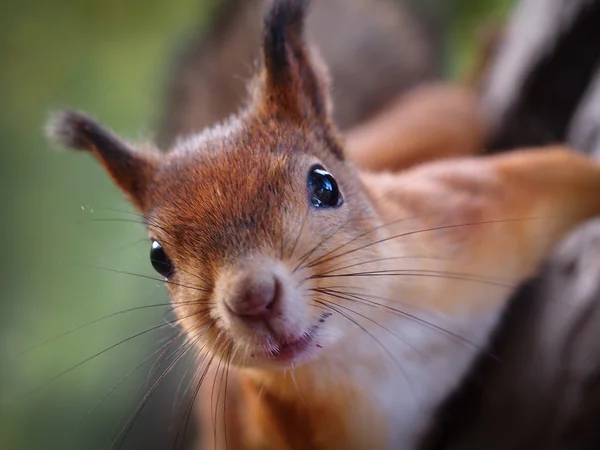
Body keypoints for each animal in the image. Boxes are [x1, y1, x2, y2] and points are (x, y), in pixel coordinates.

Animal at [47, 0, 600, 450]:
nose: (252, 298)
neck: (364, 347)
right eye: (159, 257)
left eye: (325, 186)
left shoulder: (475, 214)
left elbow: (568, 173)